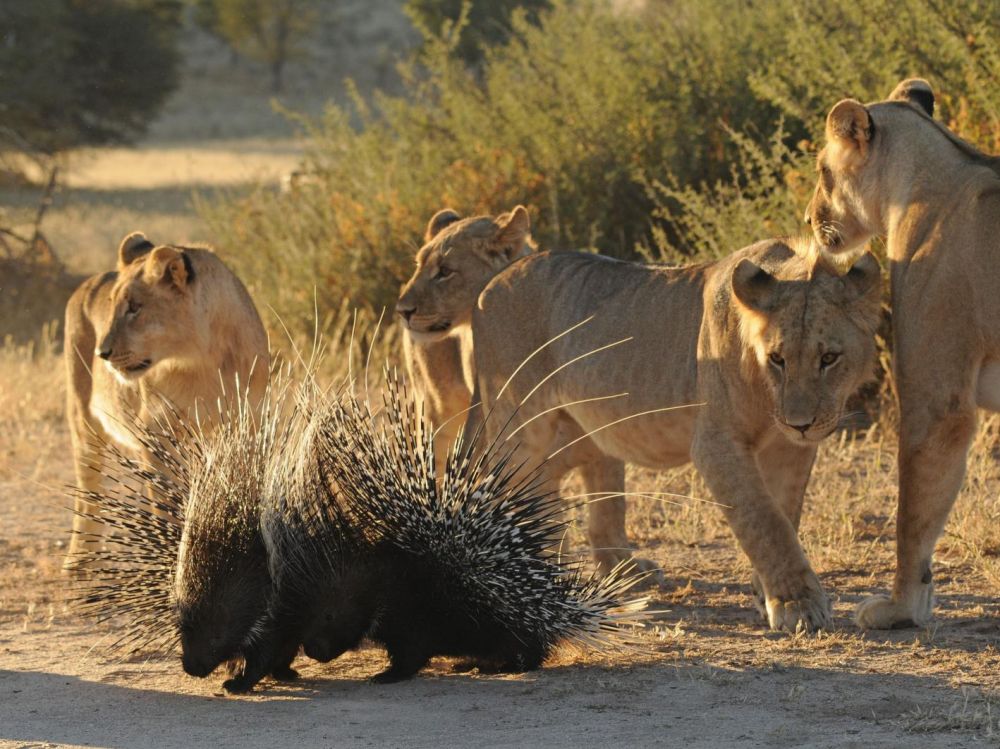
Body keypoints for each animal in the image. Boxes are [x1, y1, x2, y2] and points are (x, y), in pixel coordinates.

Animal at [66, 231, 270, 564]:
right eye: (112, 306)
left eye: (135, 306)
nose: (102, 353)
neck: (203, 361)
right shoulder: (157, 433)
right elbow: (166, 506)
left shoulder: (249, 424)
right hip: (83, 421)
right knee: (89, 496)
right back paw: (79, 564)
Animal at [462, 241, 884, 632]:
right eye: (777, 359)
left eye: (829, 358)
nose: (801, 424)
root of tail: (489, 285)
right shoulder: (716, 445)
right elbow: (764, 522)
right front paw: (798, 605)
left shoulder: (789, 450)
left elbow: (785, 515)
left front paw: (765, 593)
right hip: (521, 424)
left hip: (581, 431)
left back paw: (611, 570)